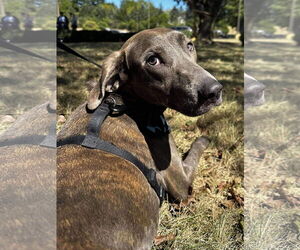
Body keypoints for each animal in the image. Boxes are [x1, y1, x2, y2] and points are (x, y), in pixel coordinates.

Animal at [56, 28, 223, 249]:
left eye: (189, 45)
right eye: (152, 60)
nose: (214, 90)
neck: (128, 104)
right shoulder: (180, 184)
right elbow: (196, 150)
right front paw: (205, 138)